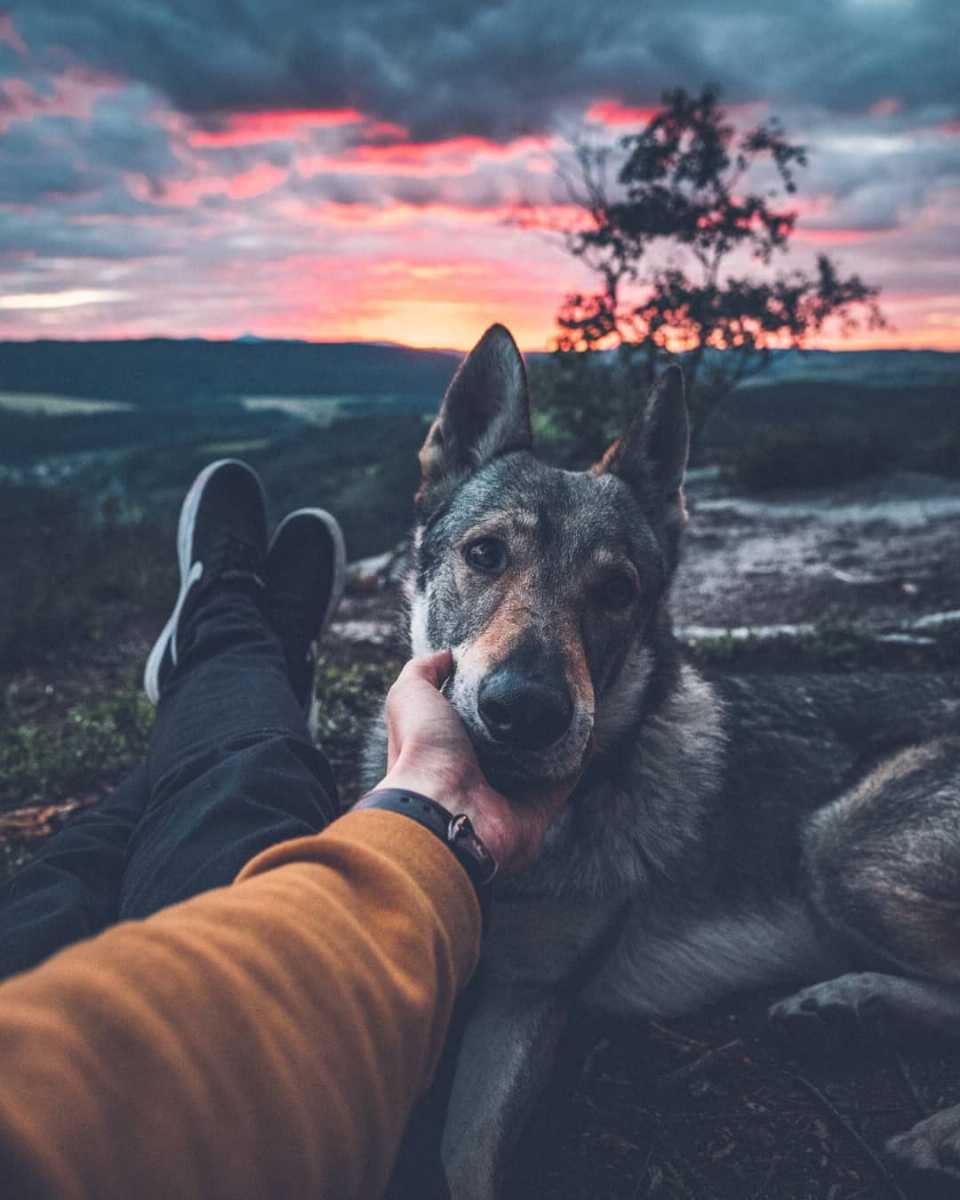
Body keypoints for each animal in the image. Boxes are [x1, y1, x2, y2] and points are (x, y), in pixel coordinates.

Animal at [364, 324, 960, 1195]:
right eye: (485, 554)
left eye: (618, 591)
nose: (525, 711)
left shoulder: (526, 1000)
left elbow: (468, 1159)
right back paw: (850, 1004)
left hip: (838, 846)